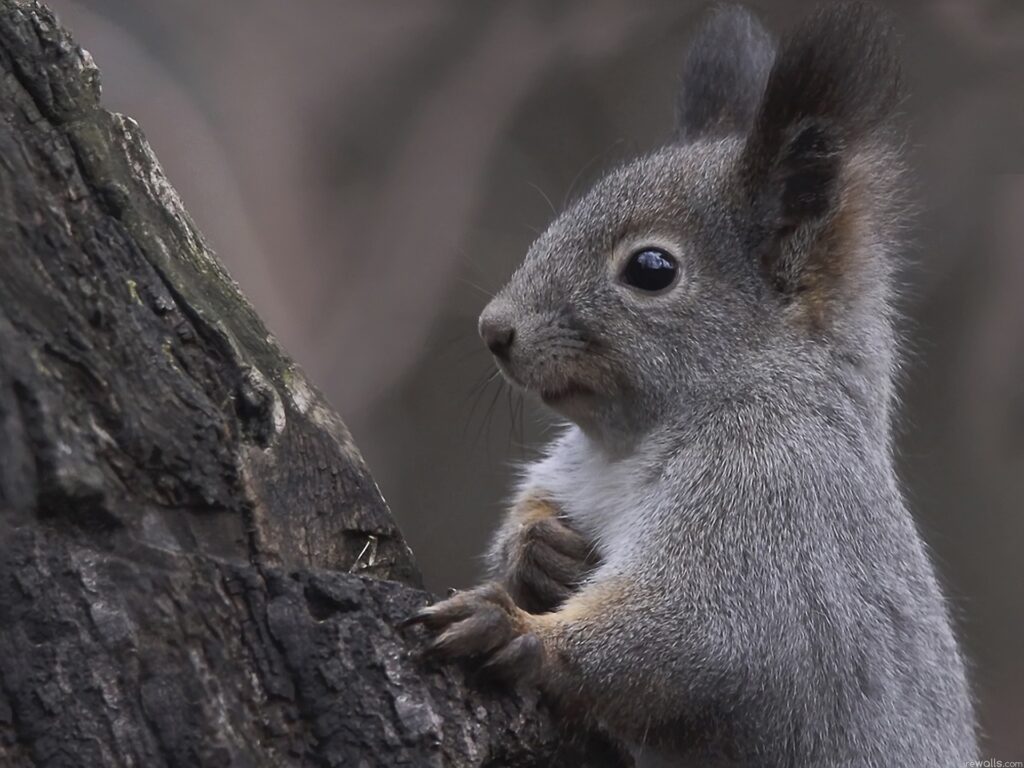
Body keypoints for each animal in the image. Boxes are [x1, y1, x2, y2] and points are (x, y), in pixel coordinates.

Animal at [407, 3, 978, 766]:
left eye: (652, 269)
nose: (494, 329)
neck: (623, 446)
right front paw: (538, 552)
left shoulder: (773, 503)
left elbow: (700, 635)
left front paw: (522, 634)